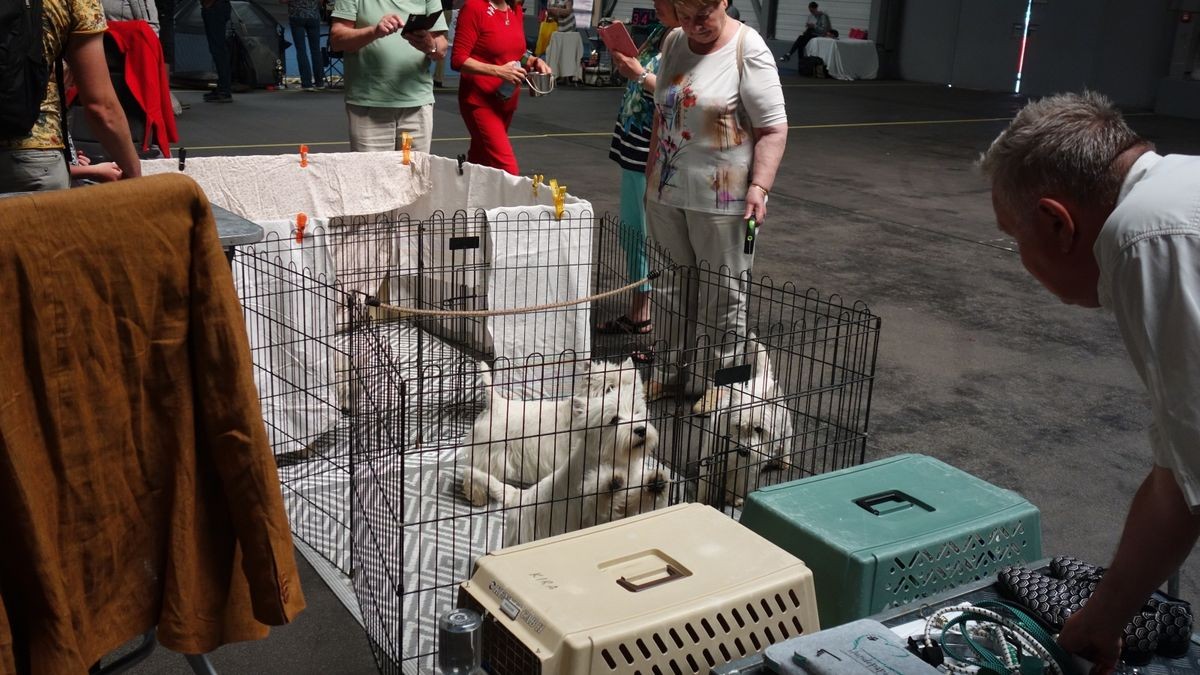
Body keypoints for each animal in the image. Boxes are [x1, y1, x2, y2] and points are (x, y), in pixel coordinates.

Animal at [458, 355, 648, 502]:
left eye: (632, 386)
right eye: (610, 388)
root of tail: (496, 403)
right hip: (490, 452)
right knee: (473, 473)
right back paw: (477, 497)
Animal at [691, 338, 792, 506]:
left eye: (759, 429)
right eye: (737, 425)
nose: (743, 451)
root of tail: (763, 377)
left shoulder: (747, 465)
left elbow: (738, 482)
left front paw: (734, 498)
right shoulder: (710, 456)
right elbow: (706, 482)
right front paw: (702, 500)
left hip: (784, 425)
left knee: (786, 442)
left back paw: (784, 461)